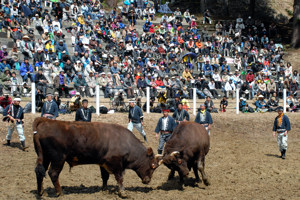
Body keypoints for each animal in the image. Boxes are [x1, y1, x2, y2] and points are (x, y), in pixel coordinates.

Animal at [31, 117, 161, 197]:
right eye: (153, 165)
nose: (147, 180)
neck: (126, 142)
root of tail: (45, 120)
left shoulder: (103, 163)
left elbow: (105, 177)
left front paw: (104, 190)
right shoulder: (116, 163)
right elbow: (120, 178)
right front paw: (122, 193)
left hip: (45, 157)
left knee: (39, 173)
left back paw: (41, 192)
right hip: (58, 158)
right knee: (53, 173)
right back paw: (60, 193)